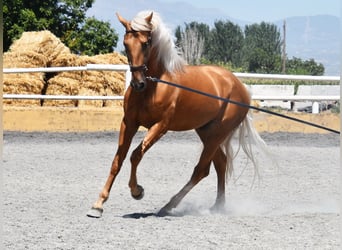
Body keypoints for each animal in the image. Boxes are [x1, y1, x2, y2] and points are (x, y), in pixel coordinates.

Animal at [86, 10, 268, 217]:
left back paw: (169, 205)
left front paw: (137, 191)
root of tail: (240, 87)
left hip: (217, 134)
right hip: (206, 132)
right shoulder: (129, 123)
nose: (138, 83)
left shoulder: (160, 126)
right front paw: (98, 205)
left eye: (146, 43)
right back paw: (217, 206)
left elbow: (135, 155)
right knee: (220, 163)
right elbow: (118, 160)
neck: (154, 85)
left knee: (201, 170)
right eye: (125, 43)